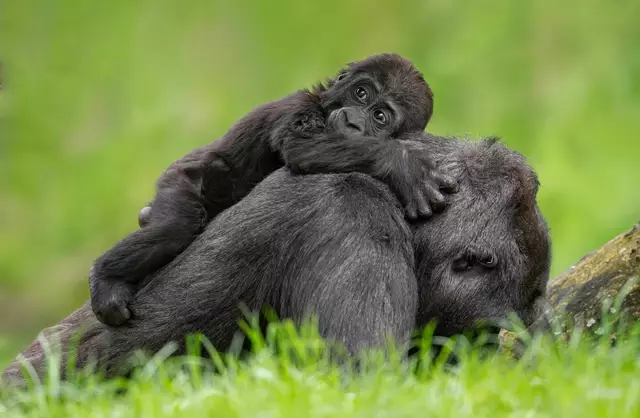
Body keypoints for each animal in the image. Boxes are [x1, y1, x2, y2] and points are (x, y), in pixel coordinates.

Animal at [89, 53, 458, 327]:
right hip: (180, 177)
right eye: (361, 93)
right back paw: (107, 276)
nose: (354, 120)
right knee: (176, 226)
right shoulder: (298, 108)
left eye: (380, 116)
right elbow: (300, 144)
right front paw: (403, 165)